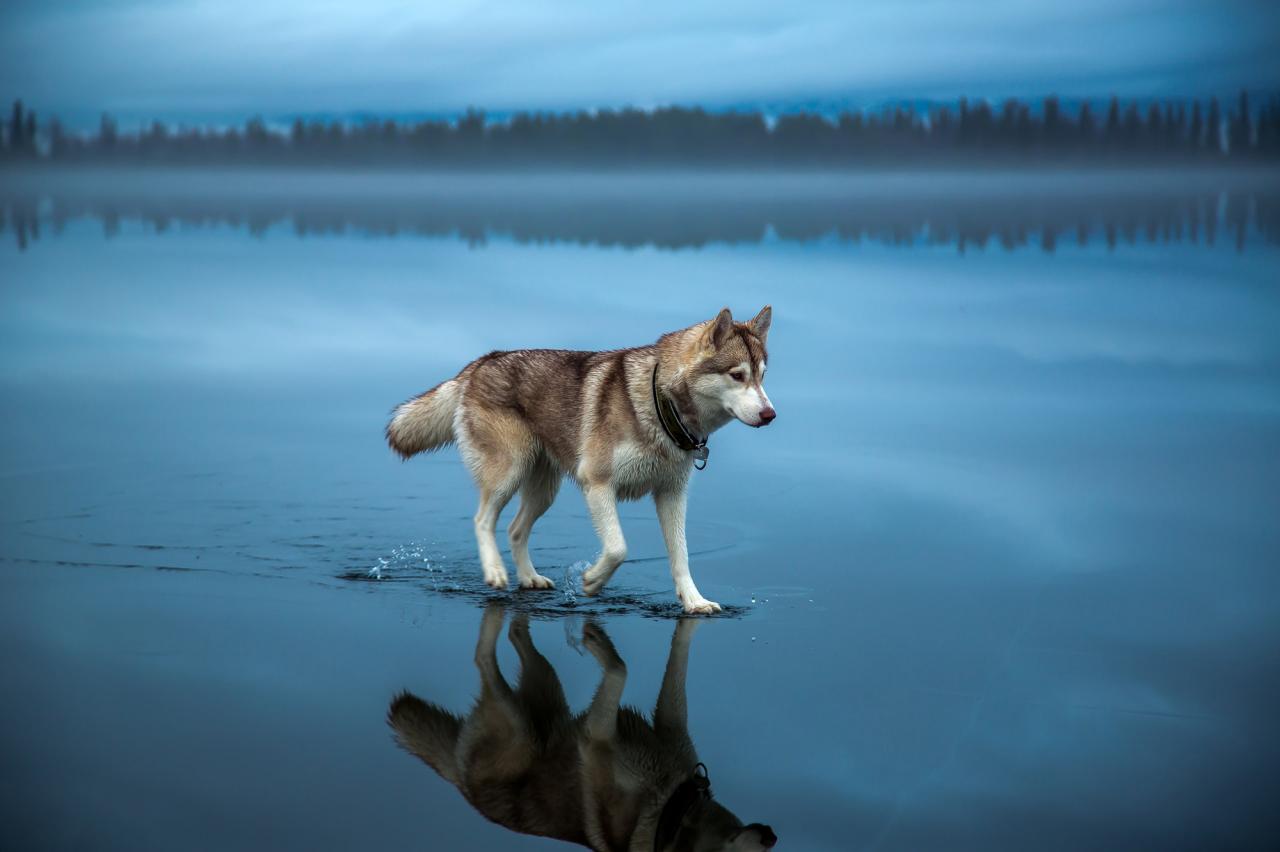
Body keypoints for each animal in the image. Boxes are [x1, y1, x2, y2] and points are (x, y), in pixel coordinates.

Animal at [384, 305, 773, 611]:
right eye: (737, 375)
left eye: (762, 377)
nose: (770, 414)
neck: (660, 404)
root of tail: (482, 361)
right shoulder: (597, 483)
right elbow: (618, 548)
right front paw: (591, 580)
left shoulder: (671, 494)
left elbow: (681, 556)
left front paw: (694, 602)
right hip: (508, 473)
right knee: (483, 520)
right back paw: (495, 571)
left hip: (544, 490)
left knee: (514, 530)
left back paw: (529, 578)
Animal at [384, 606, 773, 844]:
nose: (773, 837)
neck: (672, 811)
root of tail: (461, 786)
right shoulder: (596, 736)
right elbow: (619, 670)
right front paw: (596, 641)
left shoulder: (670, 727)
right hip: (519, 725)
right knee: (483, 658)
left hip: (545, 690)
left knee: (516, 636)